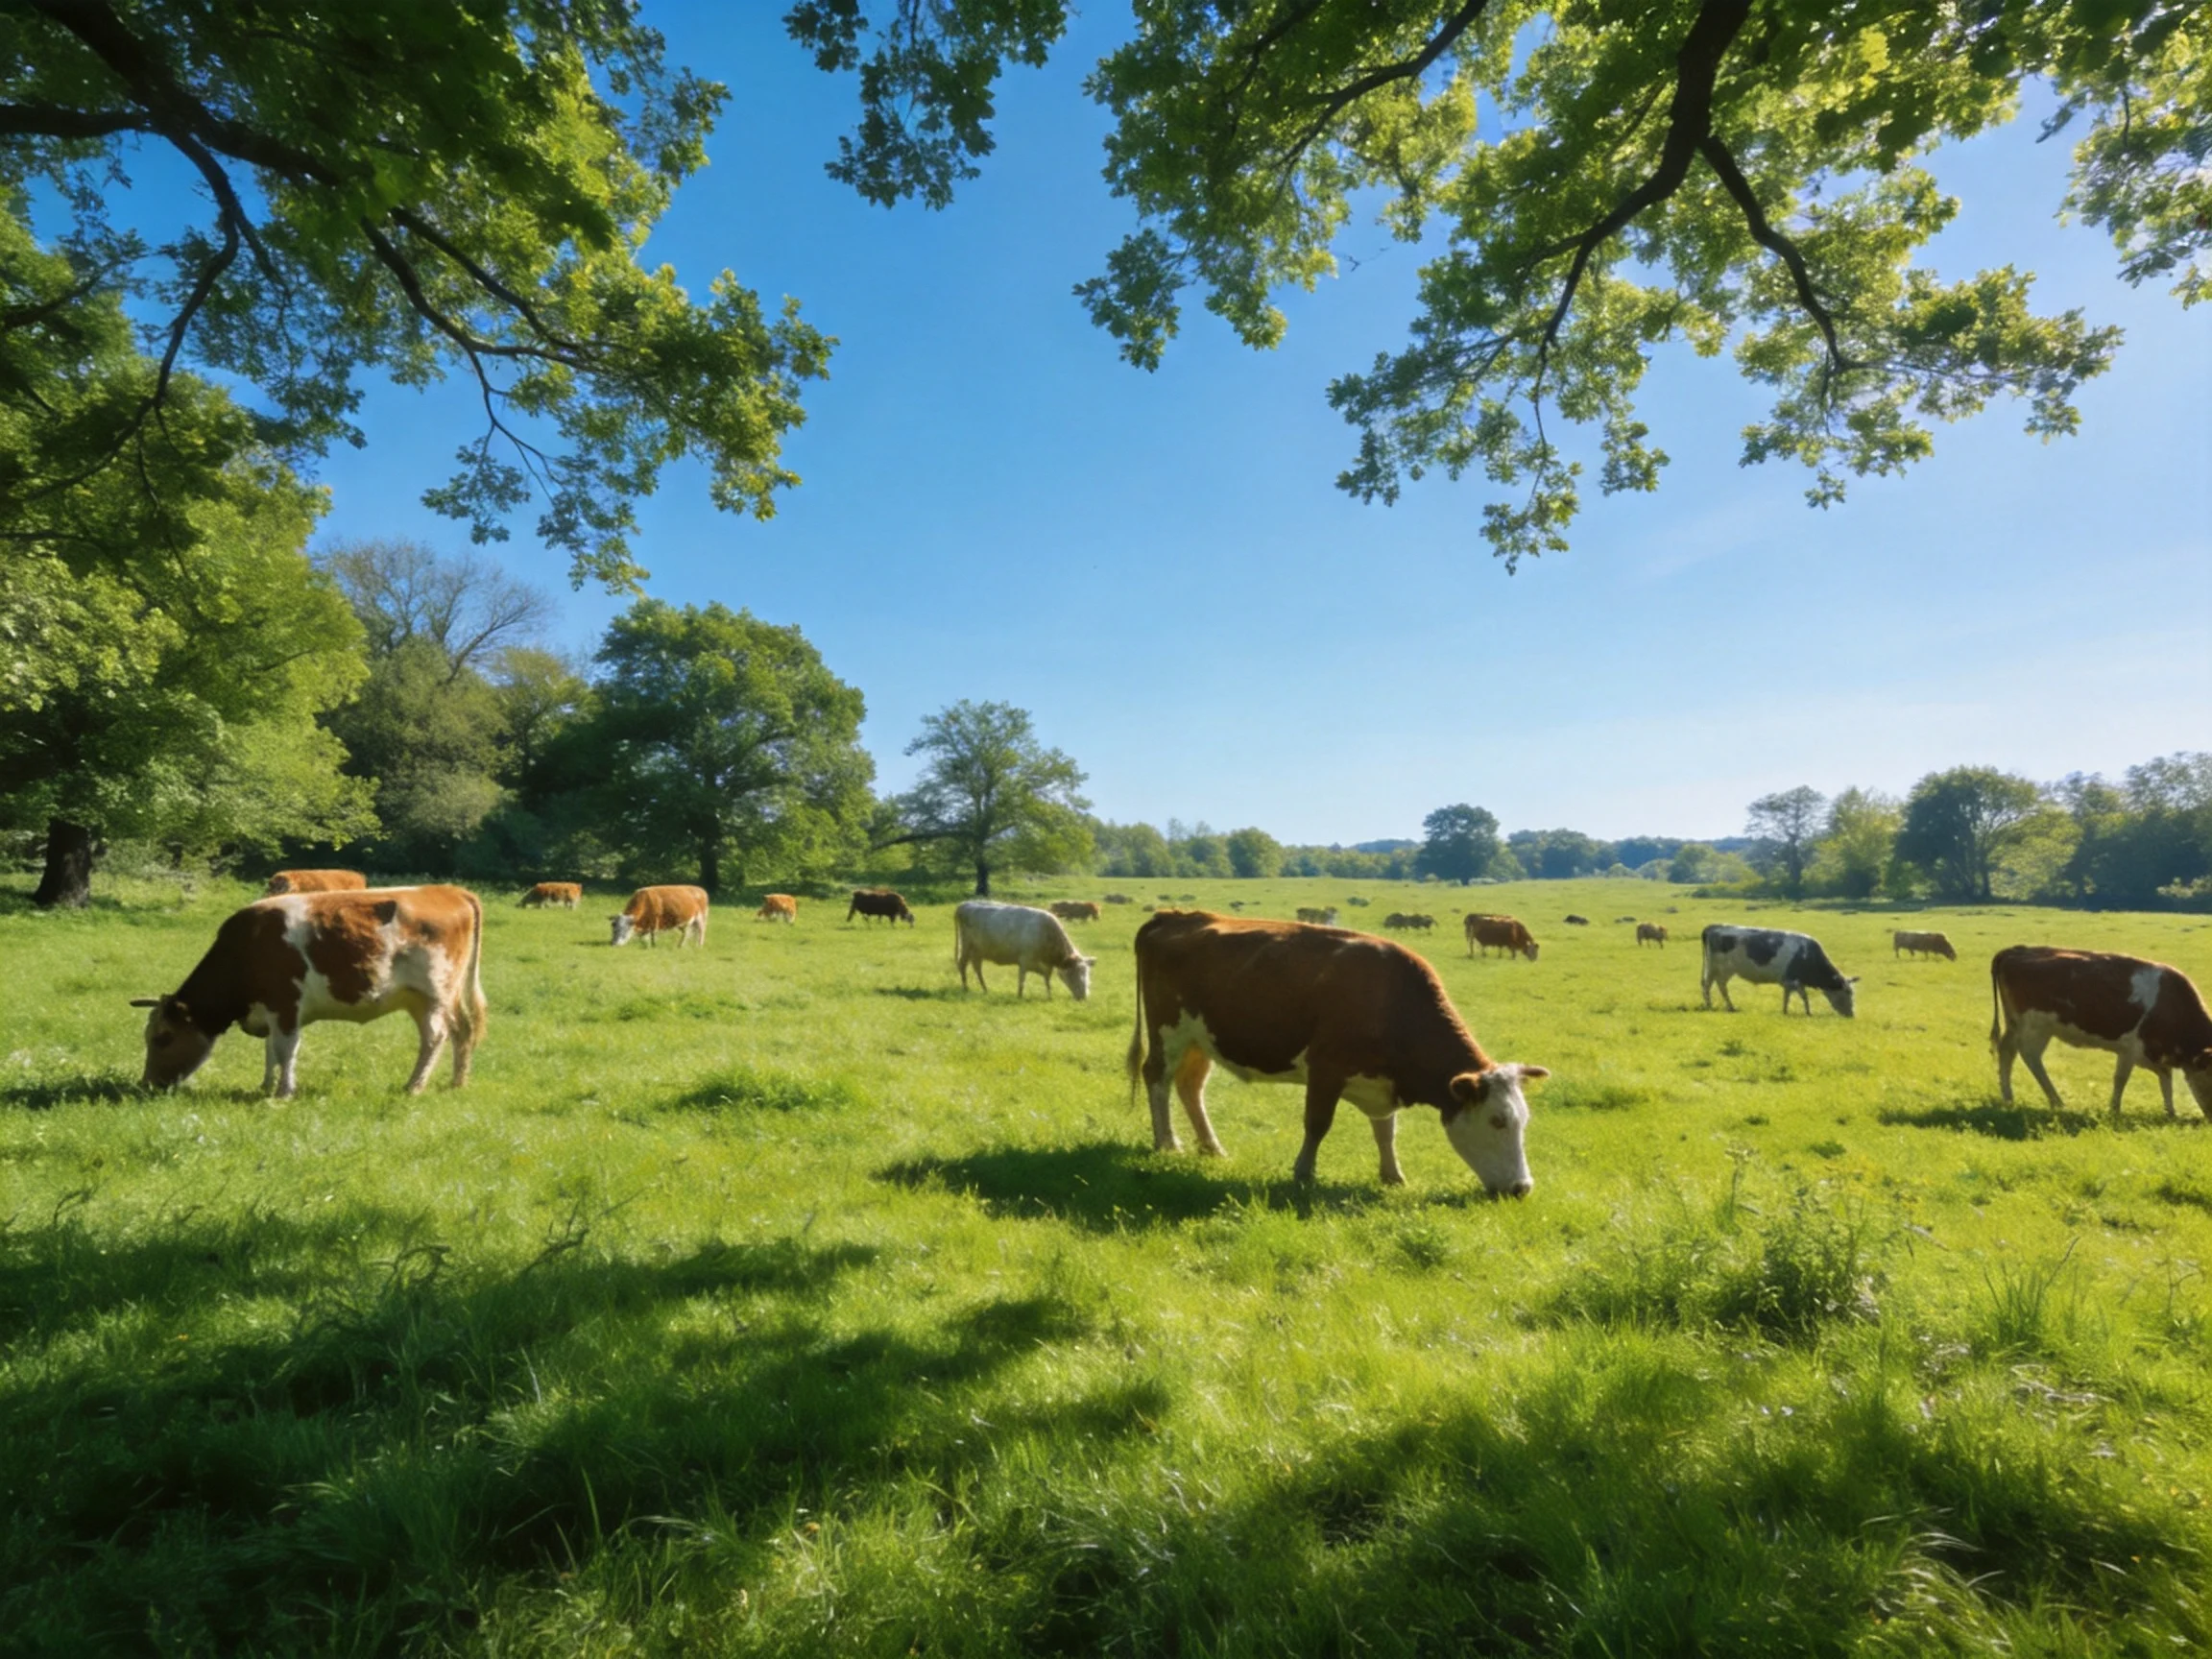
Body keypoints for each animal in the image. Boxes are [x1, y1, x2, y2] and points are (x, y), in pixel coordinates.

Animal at [133, 886, 485, 1098]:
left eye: (163, 1037)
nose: (147, 1084)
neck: (246, 949)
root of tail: (447, 890)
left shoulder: (286, 1004)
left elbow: (286, 1049)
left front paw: (283, 1093)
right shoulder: (270, 1012)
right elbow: (271, 1050)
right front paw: (266, 1085)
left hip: (434, 995)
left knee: (435, 1037)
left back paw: (414, 1086)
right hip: (427, 999)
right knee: (462, 1031)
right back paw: (457, 1082)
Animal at [1128, 911, 1547, 1193]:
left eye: (1524, 1121)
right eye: (1497, 1121)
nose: (1522, 1188)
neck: (1392, 1000)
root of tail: (1173, 917)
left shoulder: (1381, 1084)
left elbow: (1386, 1132)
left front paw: (1392, 1174)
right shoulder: (1325, 1069)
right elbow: (1317, 1124)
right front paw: (1303, 1172)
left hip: (1201, 1040)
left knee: (1190, 1086)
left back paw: (1212, 1147)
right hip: (1169, 1031)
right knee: (1157, 1077)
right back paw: (1168, 1143)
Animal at [1701, 925, 1856, 1016]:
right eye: (1847, 992)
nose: (1851, 1015)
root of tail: (1714, 927)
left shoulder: (1792, 981)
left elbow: (1791, 996)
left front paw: (1790, 1011)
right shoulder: (1792, 979)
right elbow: (1802, 996)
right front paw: (1806, 1012)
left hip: (1716, 969)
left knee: (1711, 984)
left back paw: (1717, 1006)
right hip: (1721, 968)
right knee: (1716, 985)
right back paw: (1722, 1007)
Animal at [1991, 946, 2212, 1119]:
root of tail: (2017, 951)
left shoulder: (2154, 1053)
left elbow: (2166, 1080)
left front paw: (2171, 1112)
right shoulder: (2131, 1049)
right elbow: (2121, 1079)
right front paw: (2114, 1110)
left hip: (2016, 1024)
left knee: (2007, 1051)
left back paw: (2008, 1098)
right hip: (2036, 1027)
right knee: (2030, 1057)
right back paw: (2056, 1101)